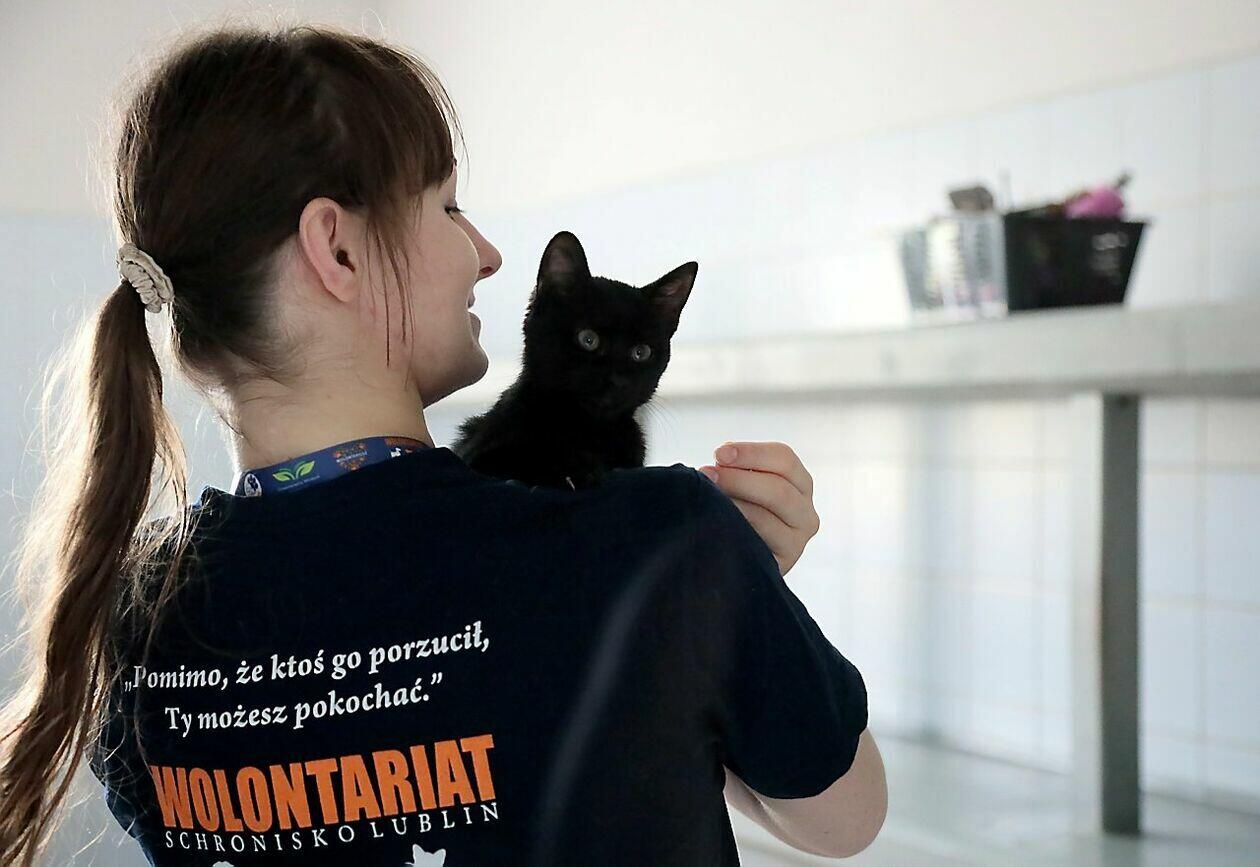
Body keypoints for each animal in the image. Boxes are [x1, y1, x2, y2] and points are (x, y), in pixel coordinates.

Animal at [450, 230, 696, 491]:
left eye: (641, 352)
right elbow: (519, 456)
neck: (587, 431)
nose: (618, 379)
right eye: (588, 339)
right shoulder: (477, 454)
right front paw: (571, 470)